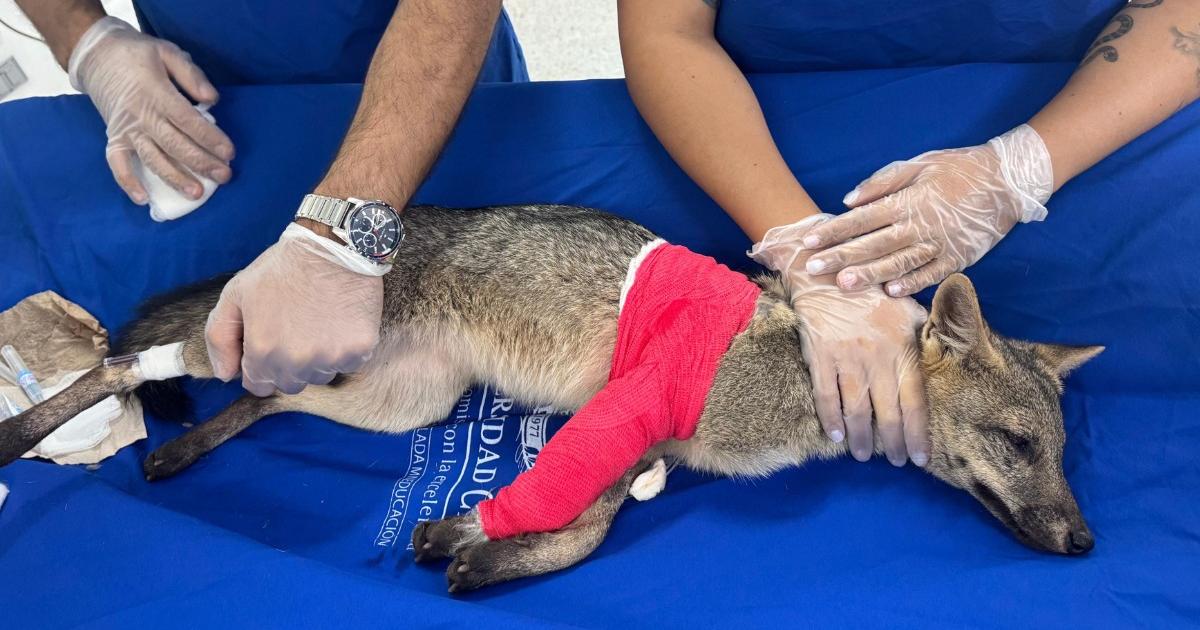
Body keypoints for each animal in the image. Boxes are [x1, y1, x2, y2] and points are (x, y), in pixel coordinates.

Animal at [0, 204, 1102, 593]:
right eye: (1018, 445)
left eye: (1062, 454)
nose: (1087, 541)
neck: (806, 381)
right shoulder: (632, 409)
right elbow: (571, 506)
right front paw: (479, 535)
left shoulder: (649, 445)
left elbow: (596, 519)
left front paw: (488, 552)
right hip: (266, 361)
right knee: (124, 367)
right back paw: (22, 430)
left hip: (389, 404)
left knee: (265, 406)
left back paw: (181, 450)